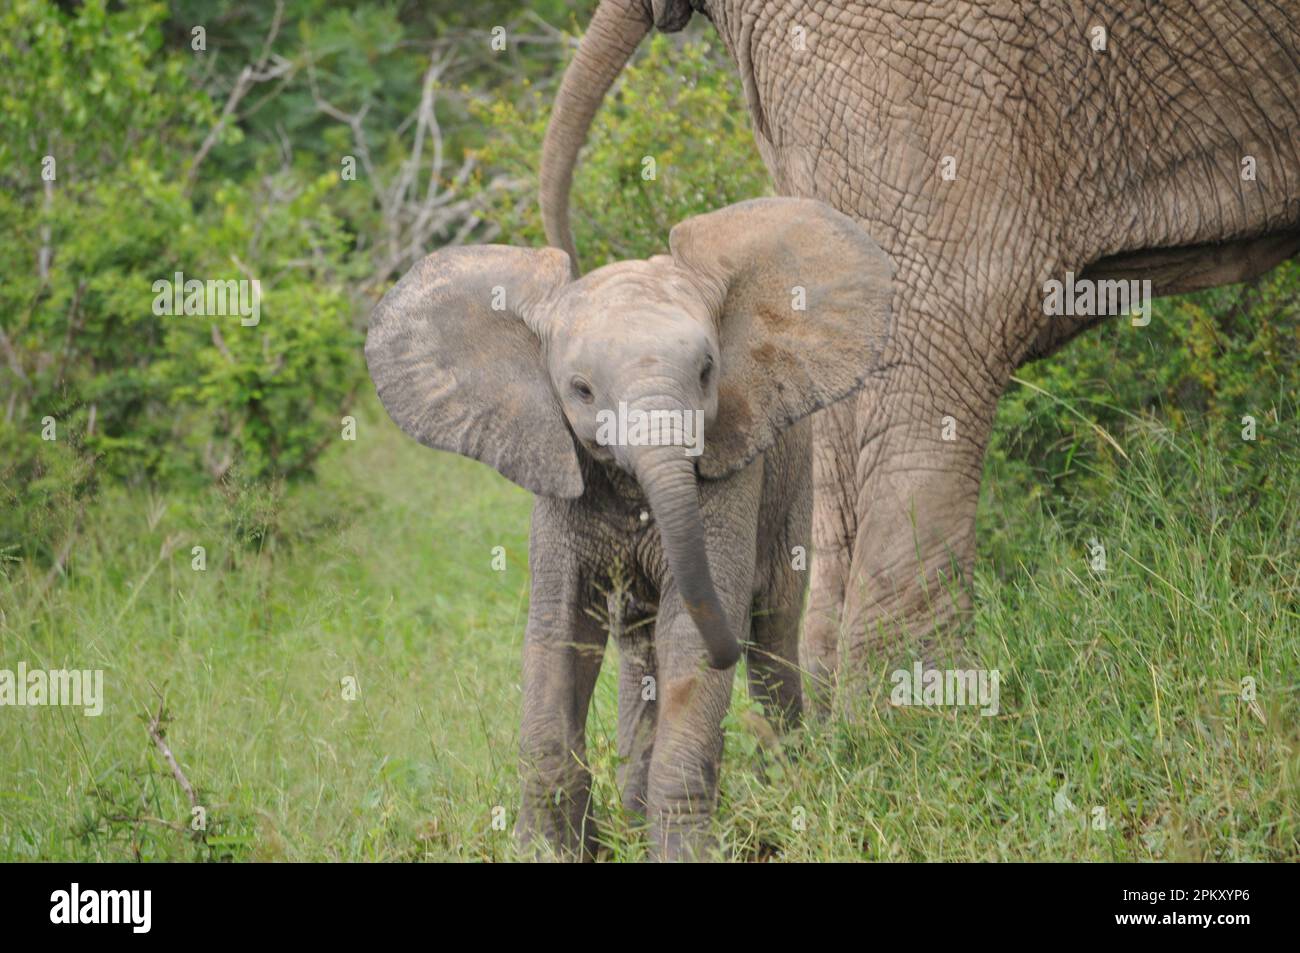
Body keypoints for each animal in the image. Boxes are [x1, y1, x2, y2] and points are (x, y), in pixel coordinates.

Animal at [366, 197, 894, 858]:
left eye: (707, 371)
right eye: (581, 389)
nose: (726, 645)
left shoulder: (728, 472)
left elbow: (688, 643)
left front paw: (683, 851)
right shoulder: (559, 477)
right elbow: (558, 635)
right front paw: (549, 849)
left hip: (796, 481)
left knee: (771, 631)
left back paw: (787, 784)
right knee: (644, 653)